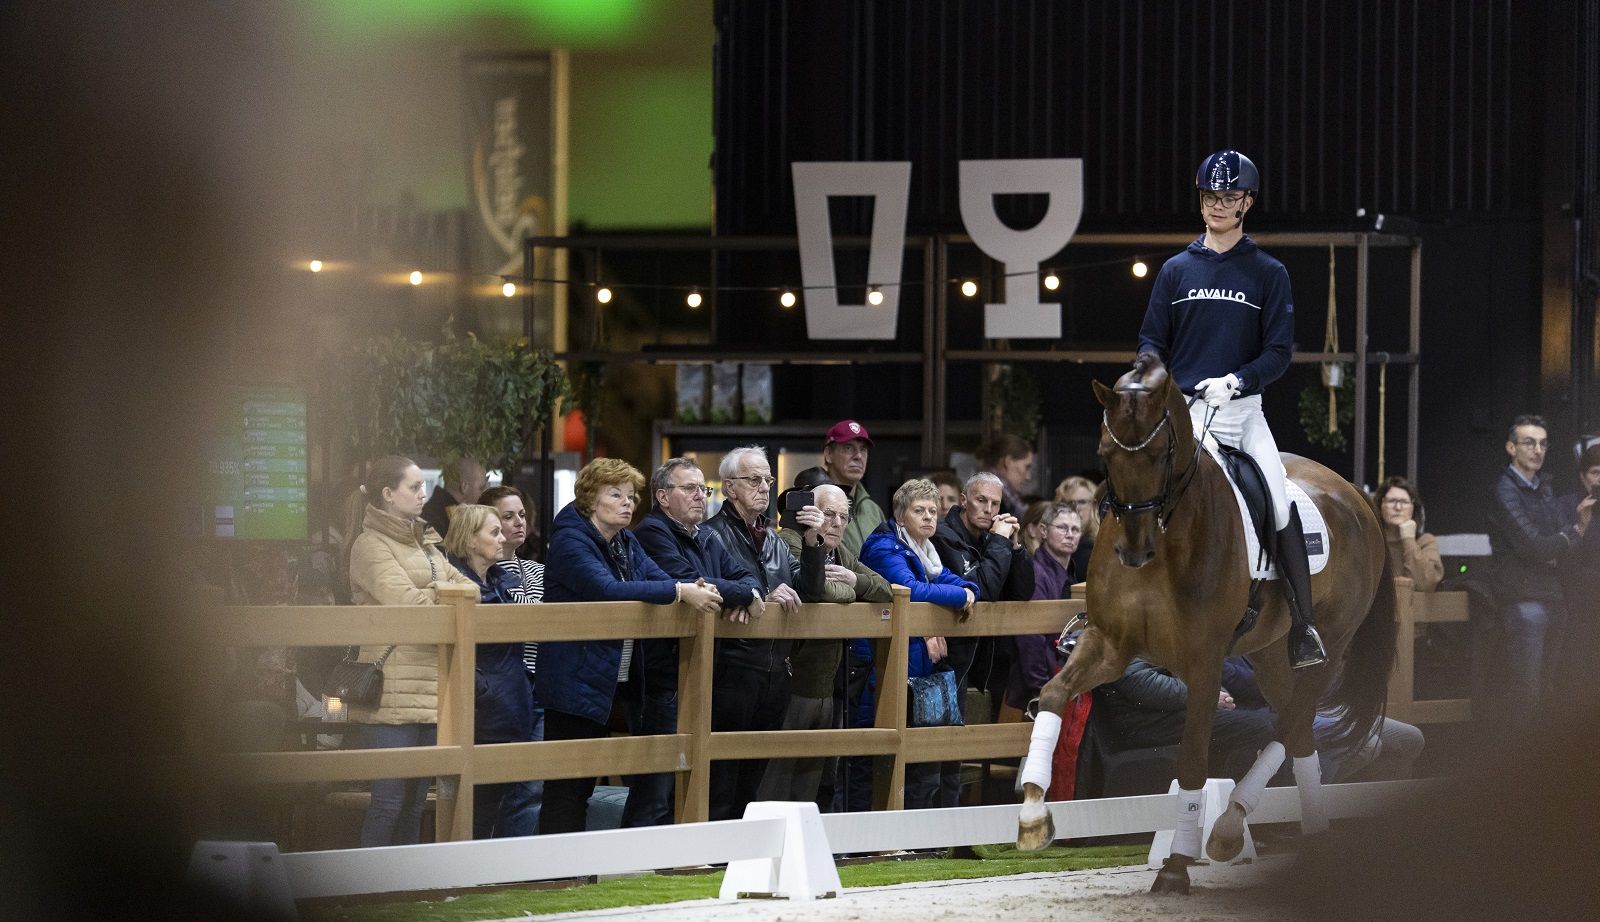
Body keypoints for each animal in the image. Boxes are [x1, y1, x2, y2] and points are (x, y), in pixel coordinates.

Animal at [1015, 353, 1397, 894]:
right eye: (1104, 452)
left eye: (1160, 455)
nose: (1133, 550)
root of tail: (1357, 498)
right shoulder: (1110, 644)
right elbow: (1052, 694)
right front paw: (1032, 814)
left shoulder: (1204, 661)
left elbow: (1194, 759)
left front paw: (1176, 864)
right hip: (1269, 654)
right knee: (1299, 728)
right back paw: (1301, 831)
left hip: (1330, 646)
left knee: (1294, 719)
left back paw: (1231, 826)